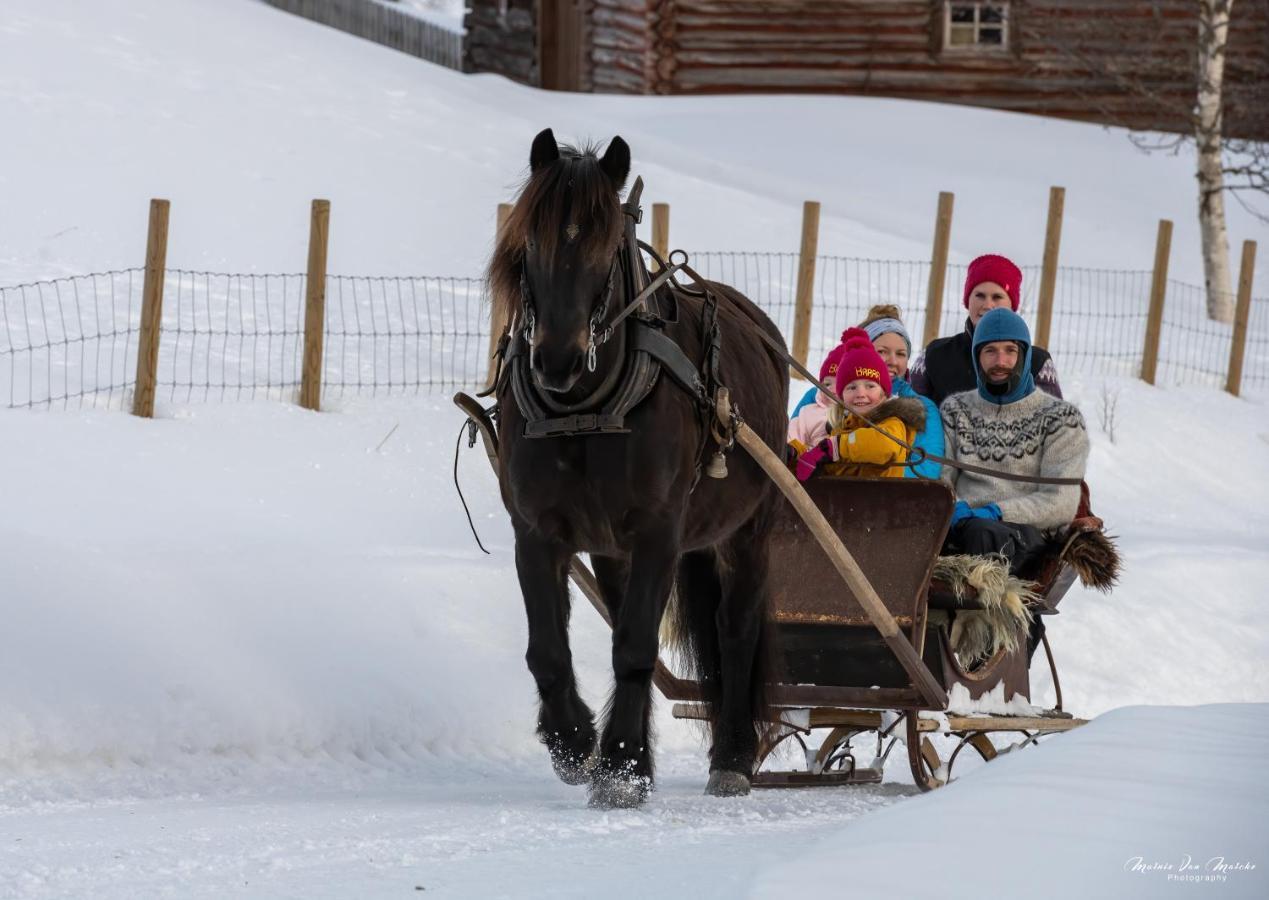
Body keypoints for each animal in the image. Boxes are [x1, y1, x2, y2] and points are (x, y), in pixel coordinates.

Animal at [487, 128, 791, 807]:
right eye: (529, 244)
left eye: (606, 249)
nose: (556, 362)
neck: (585, 412)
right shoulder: (537, 530)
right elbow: (547, 649)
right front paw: (577, 744)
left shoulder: (659, 530)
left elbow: (635, 646)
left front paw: (623, 766)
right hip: (619, 545)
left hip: (751, 528)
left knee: (735, 627)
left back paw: (732, 756)